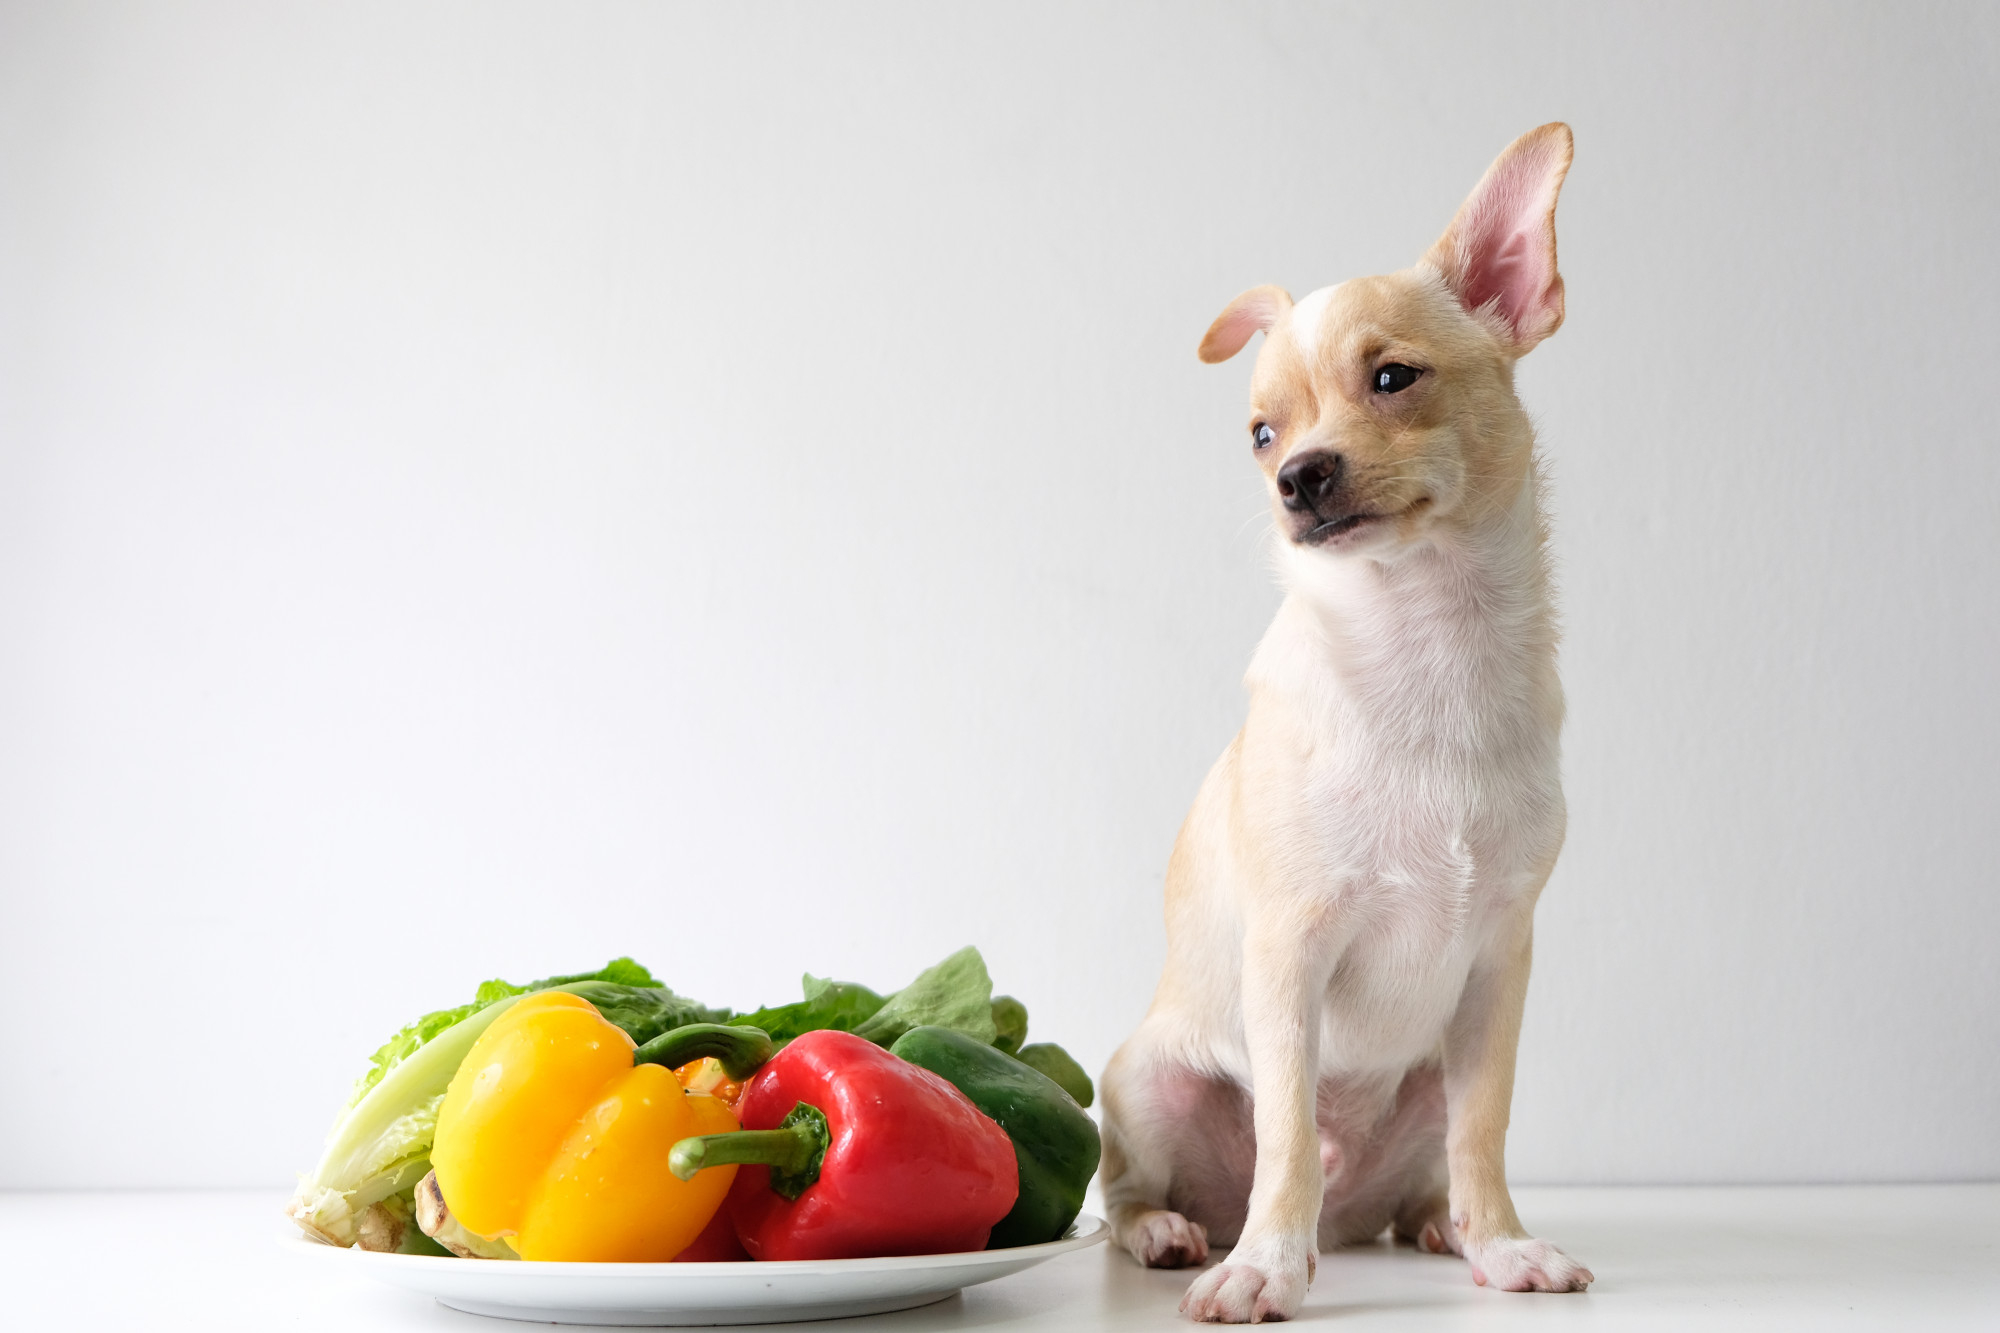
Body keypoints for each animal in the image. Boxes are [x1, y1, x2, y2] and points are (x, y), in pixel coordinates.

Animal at [1096, 127, 1592, 1320]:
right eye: (1259, 432)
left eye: (1392, 378)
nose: (1296, 475)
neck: (1424, 647)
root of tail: (1355, 1212)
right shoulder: (1288, 959)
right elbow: (1283, 1130)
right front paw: (1265, 1268)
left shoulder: (1497, 967)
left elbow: (1484, 1129)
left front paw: (1505, 1245)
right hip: (1146, 1076)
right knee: (1140, 1188)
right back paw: (1179, 1232)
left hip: (1422, 1081)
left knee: (1425, 1170)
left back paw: (1439, 1227)